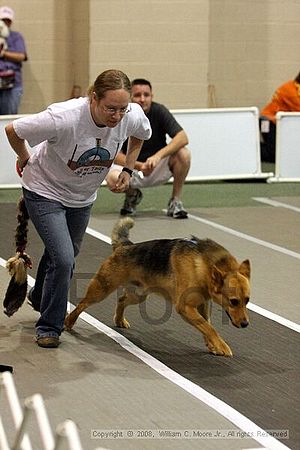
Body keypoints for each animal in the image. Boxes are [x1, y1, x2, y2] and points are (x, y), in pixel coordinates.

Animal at [65, 216, 251, 356]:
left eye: (247, 301)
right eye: (234, 301)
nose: (245, 324)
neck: (203, 264)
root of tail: (126, 245)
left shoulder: (202, 303)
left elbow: (207, 325)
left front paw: (212, 344)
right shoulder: (185, 307)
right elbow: (209, 327)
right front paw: (220, 345)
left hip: (138, 295)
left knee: (121, 299)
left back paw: (119, 319)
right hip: (102, 289)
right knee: (82, 304)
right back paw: (69, 321)